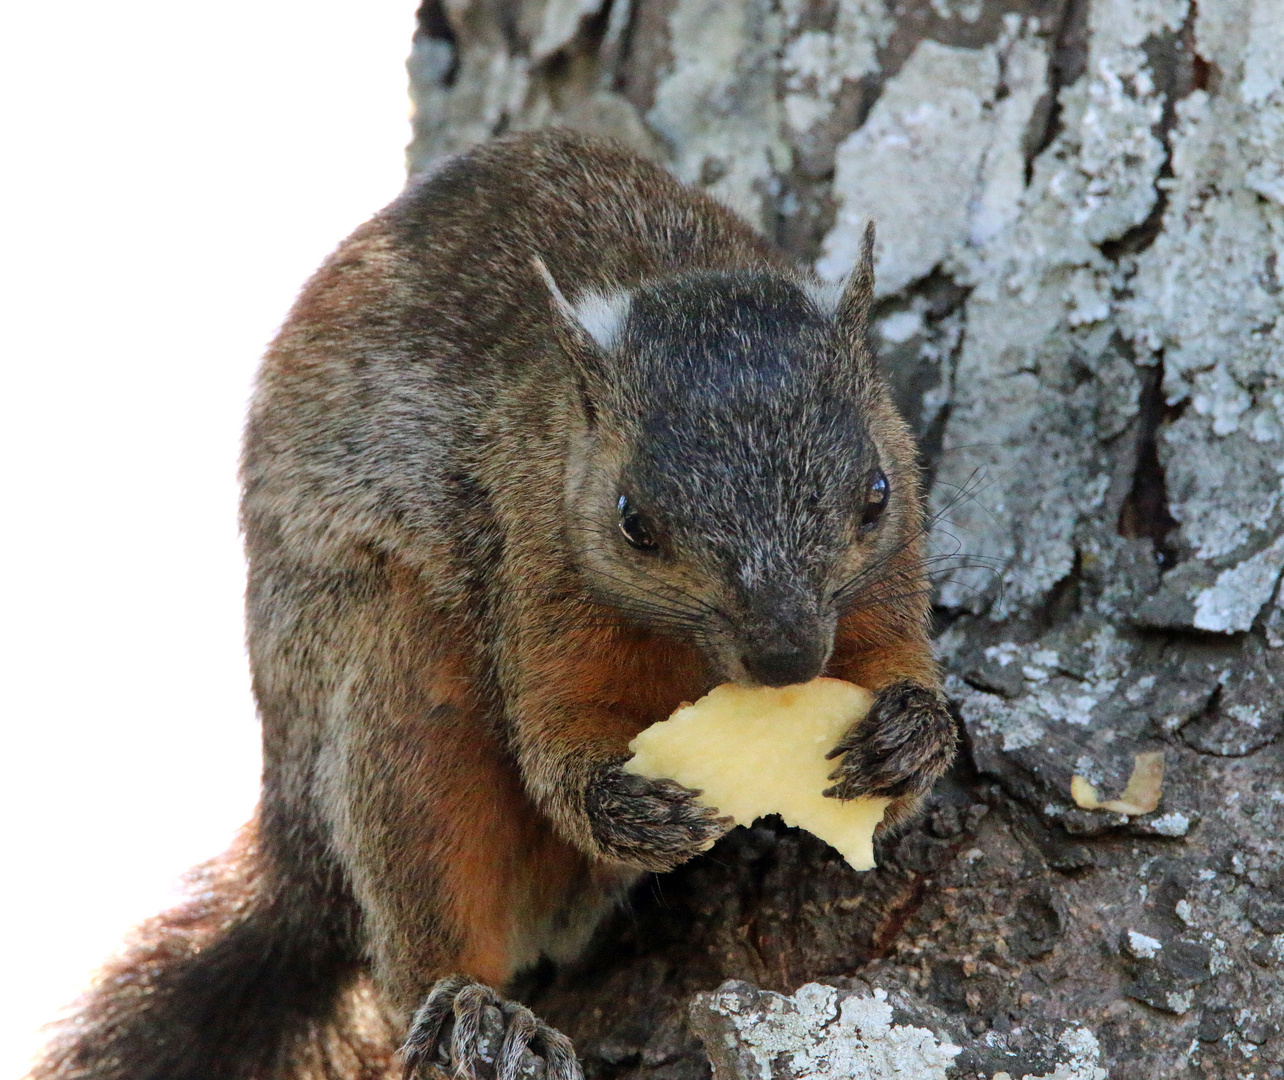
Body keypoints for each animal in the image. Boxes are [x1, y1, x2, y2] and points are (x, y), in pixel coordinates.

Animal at [30, 132, 960, 1078]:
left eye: (877, 494)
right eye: (634, 523)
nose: (786, 658)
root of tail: (294, 828)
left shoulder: (887, 580)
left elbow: (893, 684)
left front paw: (908, 738)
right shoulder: (536, 570)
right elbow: (556, 738)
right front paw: (625, 807)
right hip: (402, 698)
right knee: (426, 887)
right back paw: (474, 1007)